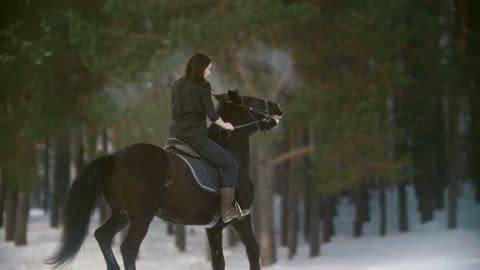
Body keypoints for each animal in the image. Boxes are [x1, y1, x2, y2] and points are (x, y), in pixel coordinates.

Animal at [47, 90, 284, 270]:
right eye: (251, 100)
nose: (277, 108)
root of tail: (115, 157)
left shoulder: (214, 228)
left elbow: (219, 262)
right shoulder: (241, 218)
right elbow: (253, 250)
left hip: (121, 214)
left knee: (102, 236)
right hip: (142, 216)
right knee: (128, 248)